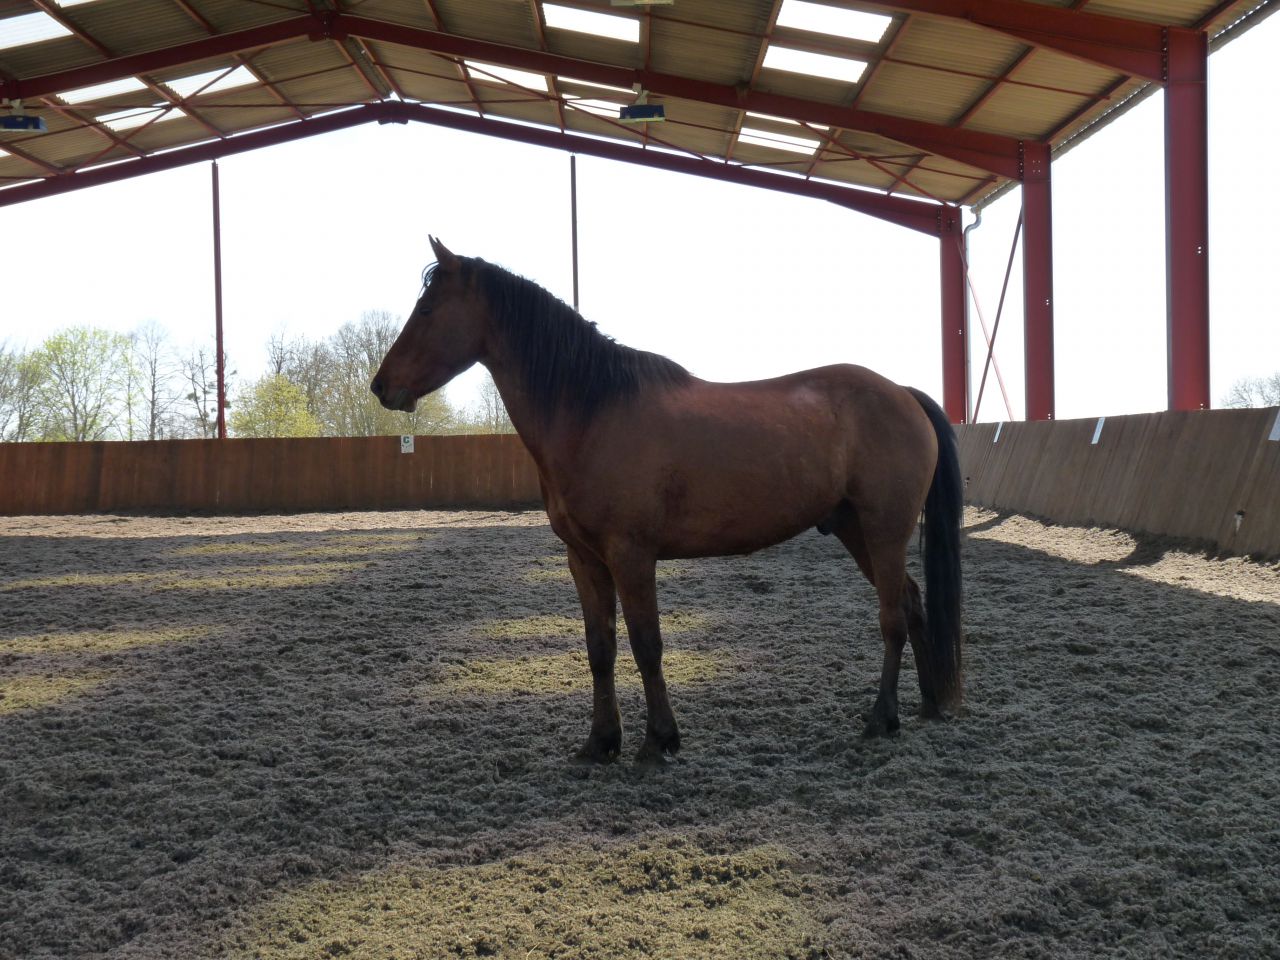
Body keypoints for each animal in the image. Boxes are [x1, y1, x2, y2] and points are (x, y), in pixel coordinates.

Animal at [373, 237, 963, 764]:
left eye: (427, 308)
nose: (382, 386)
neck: (593, 411)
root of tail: (903, 393)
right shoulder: (585, 560)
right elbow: (600, 649)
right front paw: (600, 743)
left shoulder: (632, 556)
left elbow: (646, 644)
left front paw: (659, 741)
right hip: (854, 530)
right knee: (911, 602)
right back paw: (929, 704)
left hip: (883, 531)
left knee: (891, 617)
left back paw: (882, 718)